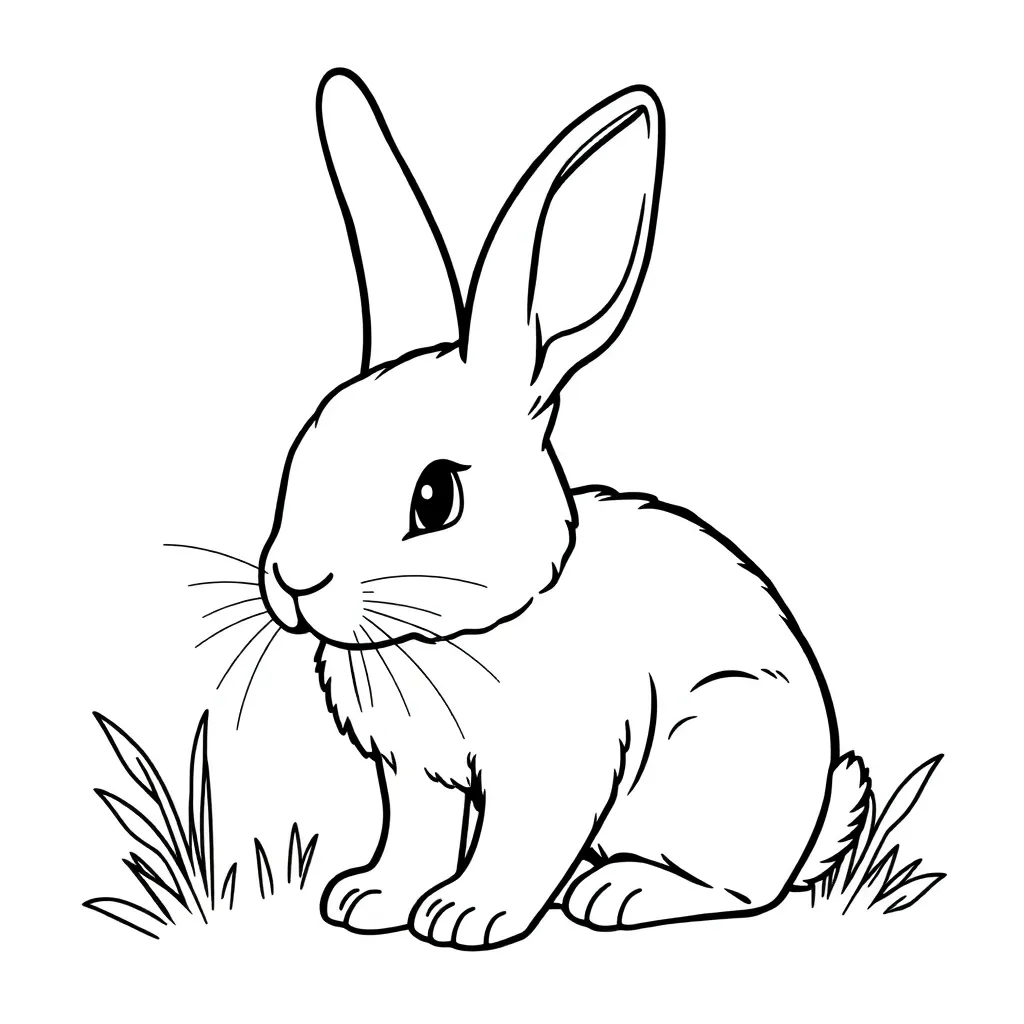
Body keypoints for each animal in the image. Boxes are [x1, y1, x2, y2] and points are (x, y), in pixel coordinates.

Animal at [257, 69, 864, 950]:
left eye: (435, 496)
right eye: (302, 455)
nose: (296, 582)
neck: (454, 634)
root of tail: (810, 823)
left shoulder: (554, 767)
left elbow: (519, 846)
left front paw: (465, 916)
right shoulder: (412, 774)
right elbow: (414, 837)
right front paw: (369, 898)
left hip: (712, 763)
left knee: (741, 890)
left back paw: (620, 892)